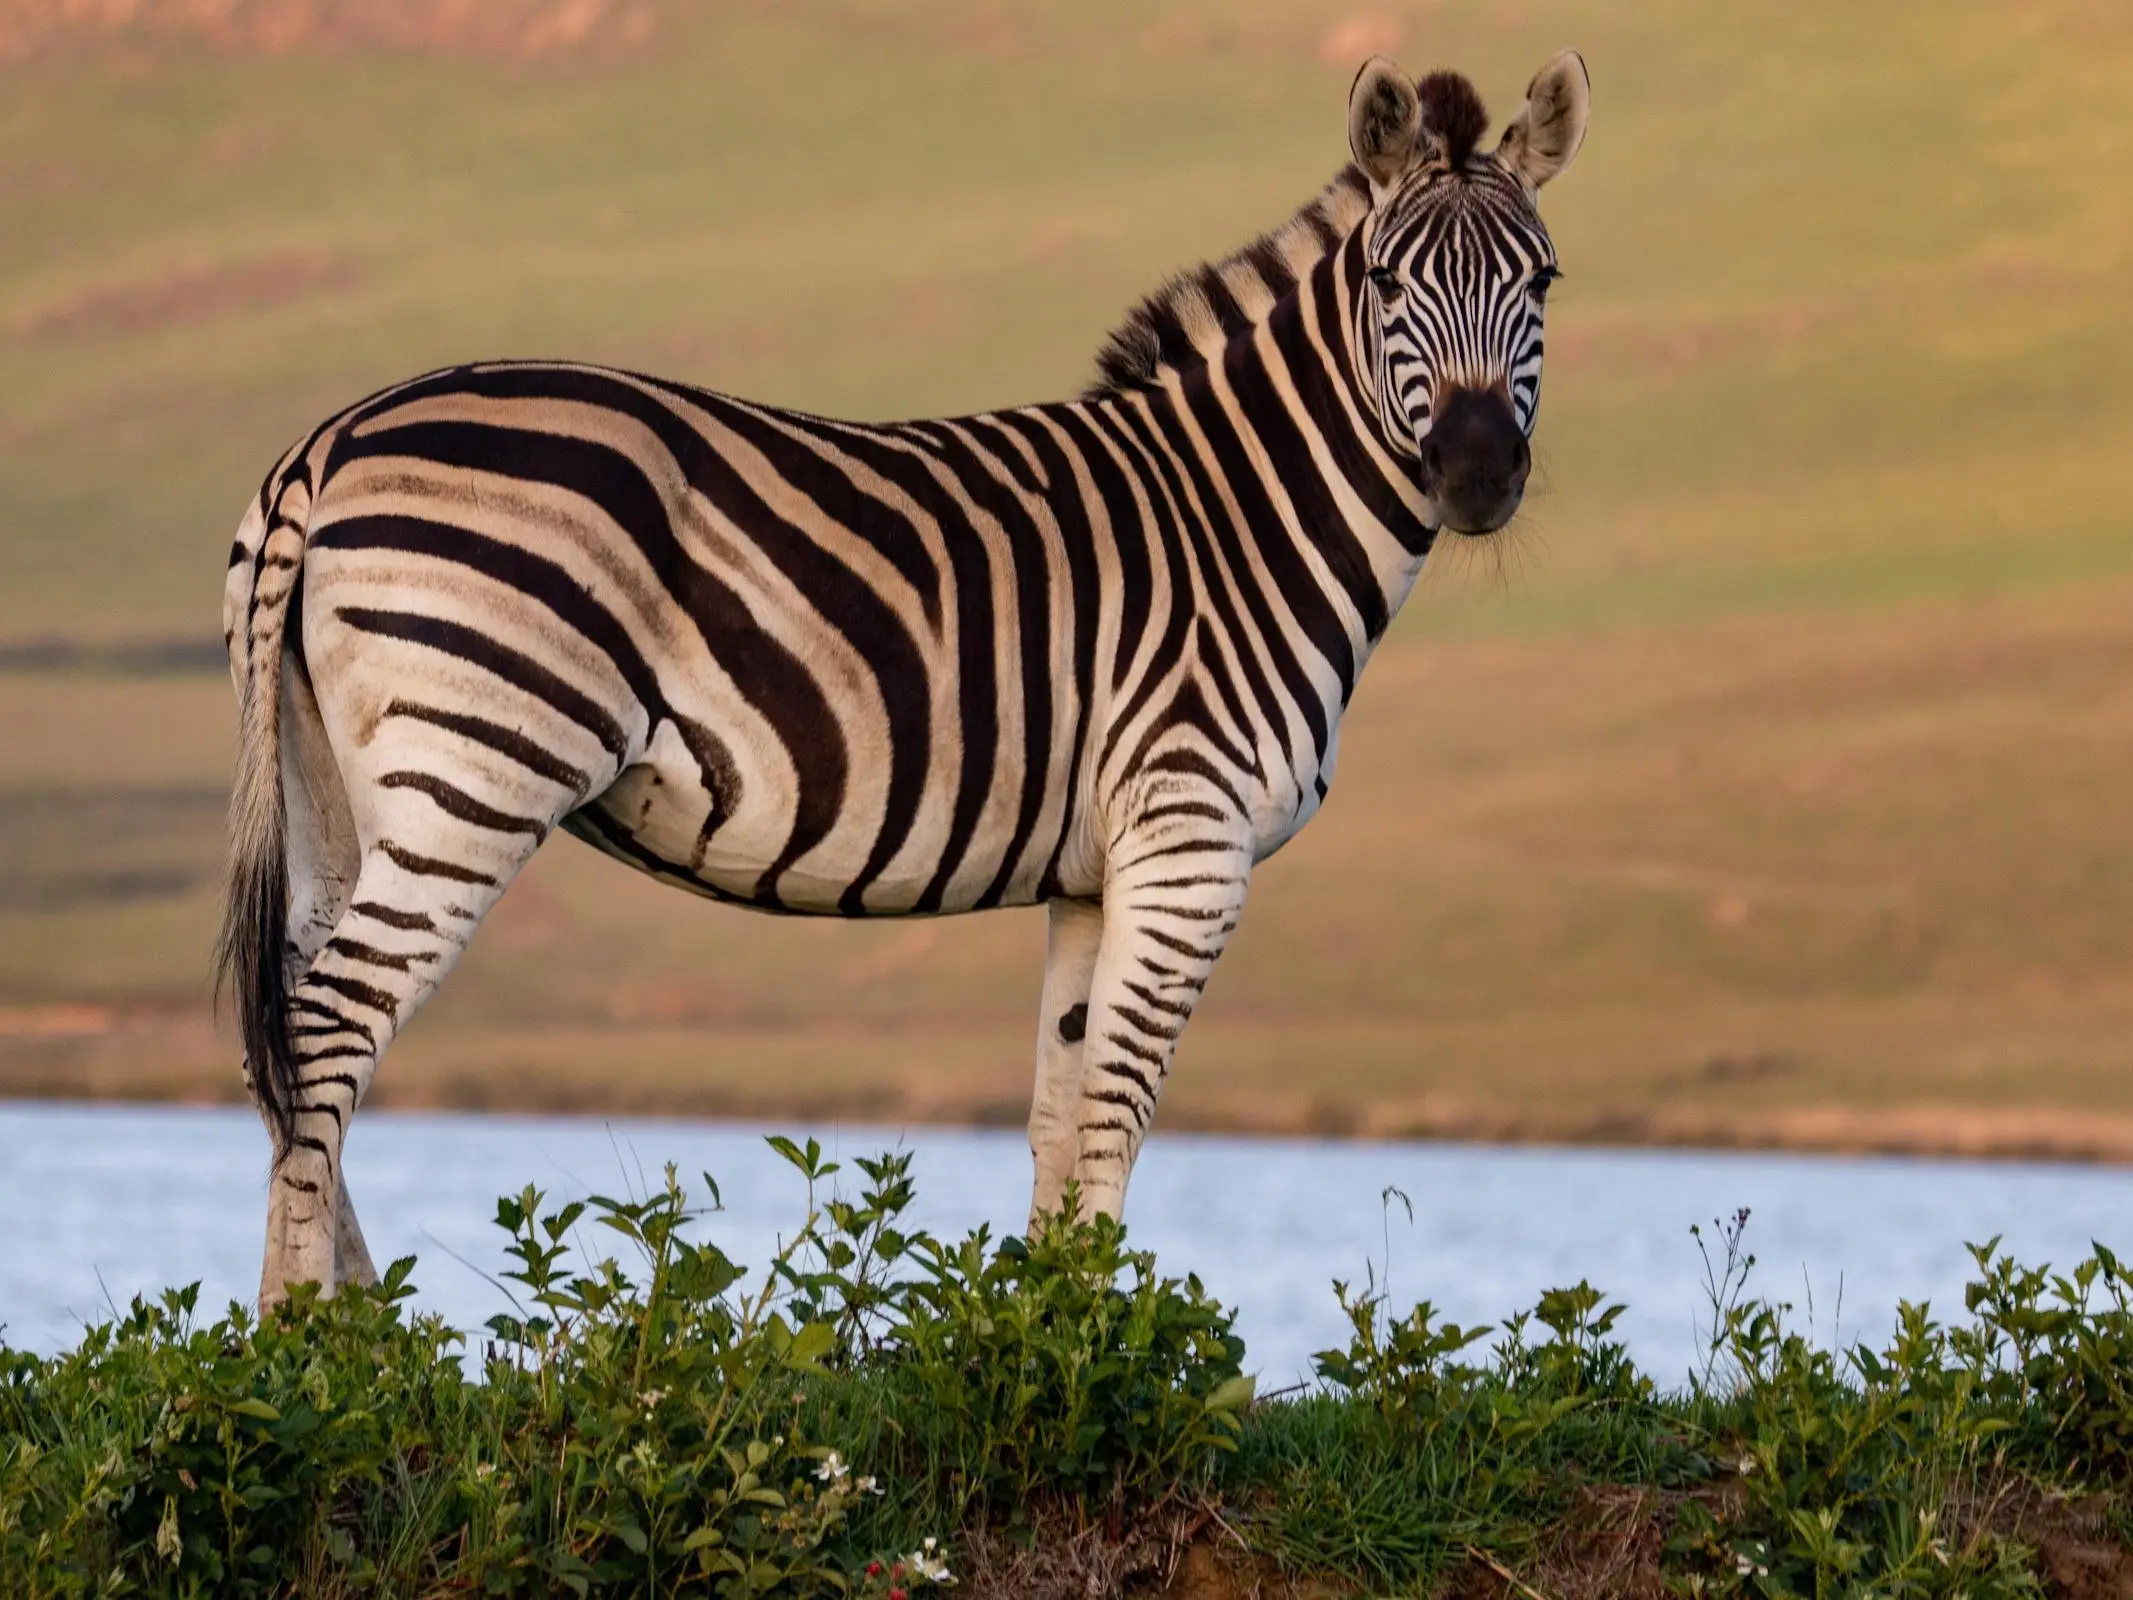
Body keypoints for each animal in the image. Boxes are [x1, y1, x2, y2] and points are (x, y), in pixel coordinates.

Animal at [220, 50, 1586, 1305]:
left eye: (1543, 279)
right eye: (1388, 280)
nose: (1476, 471)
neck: (1240, 513)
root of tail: (329, 441)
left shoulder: (1093, 873)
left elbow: (1059, 1116)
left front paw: (1047, 1343)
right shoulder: (1191, 841)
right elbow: (1117, 1113)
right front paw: (1108, 1355)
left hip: (334, 781)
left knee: (284, 1028)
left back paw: (366, 1333)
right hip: (478, 767)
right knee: (329, 1025)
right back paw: (308, 1340)